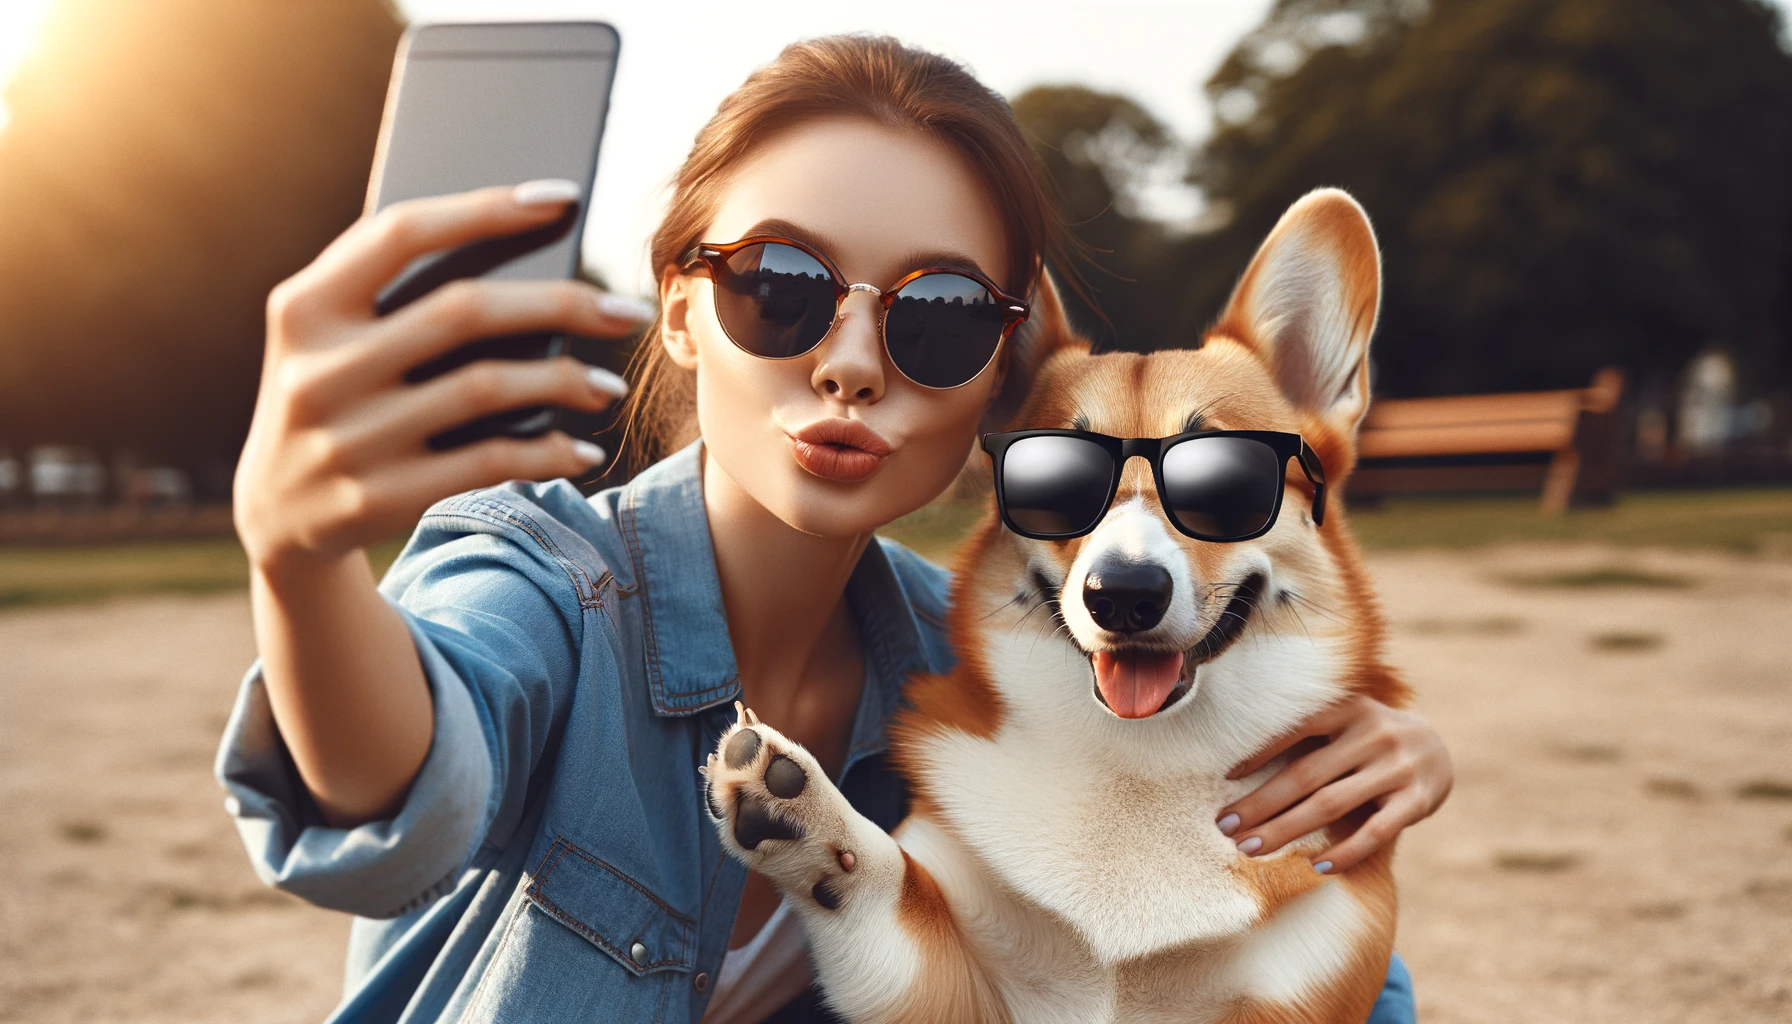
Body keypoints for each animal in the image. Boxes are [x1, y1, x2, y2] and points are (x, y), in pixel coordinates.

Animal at [706, 188, 1404, 1018]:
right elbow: (885, 881)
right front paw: (800, 811)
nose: (1124, 596)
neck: (1140, 767)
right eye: (1050, 482)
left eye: (1225, 483)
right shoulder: (950, 987)